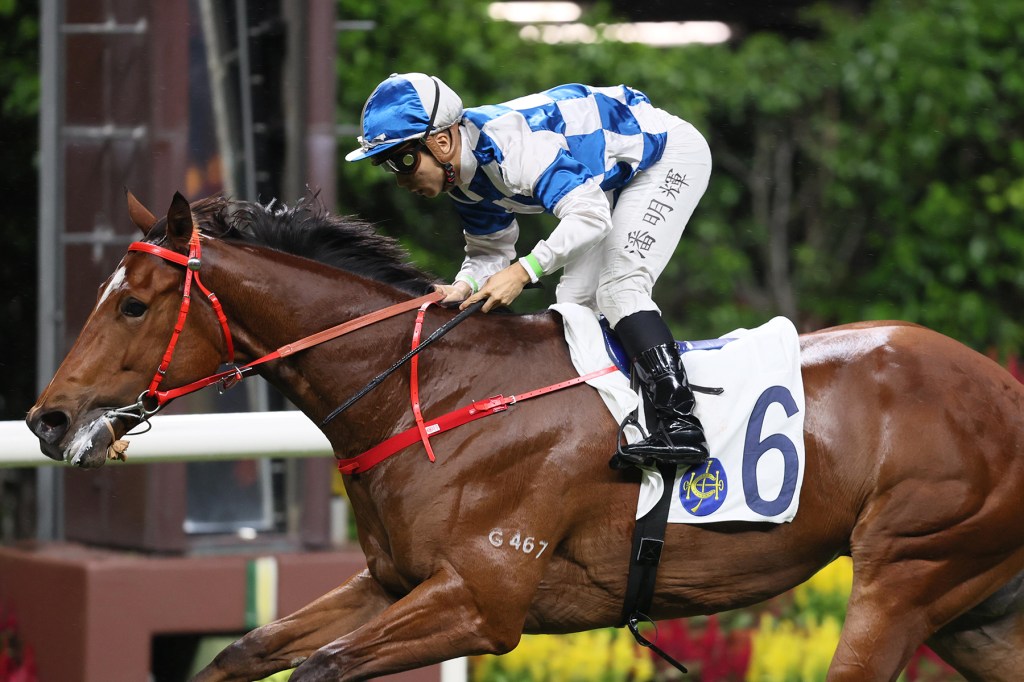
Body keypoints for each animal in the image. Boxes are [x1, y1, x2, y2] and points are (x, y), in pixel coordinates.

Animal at [26, 191, 1024, 682]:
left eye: (133, 303)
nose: (48, 417)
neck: (431, 395)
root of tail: (1004, 384)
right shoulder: (395, 579)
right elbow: (249, 649)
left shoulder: (484, 599)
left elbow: (321, 667)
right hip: (975, 608)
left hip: (909, 571)